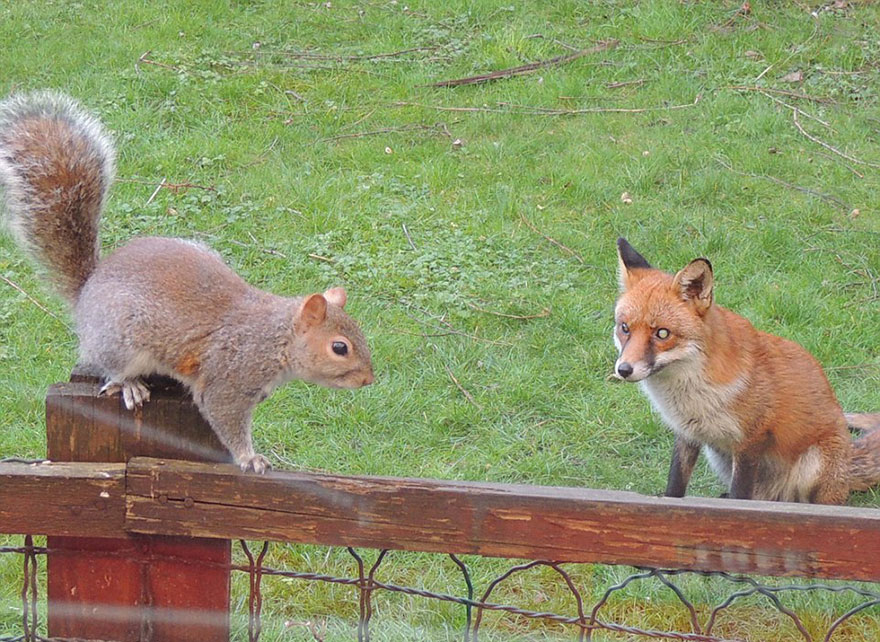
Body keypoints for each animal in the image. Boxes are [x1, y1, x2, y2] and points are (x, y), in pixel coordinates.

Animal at [0, 91, 374, 473]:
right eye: (340, 347)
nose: (368, 379)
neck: (276, 336)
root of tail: (88, 290)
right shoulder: (229, 378)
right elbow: (225, 416)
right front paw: (249, 458)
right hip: (119, 338)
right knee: (111, 368)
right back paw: (130, 385)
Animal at [612, 237, 880, 504]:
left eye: (662, 333)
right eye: (625, 328)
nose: (624, 369)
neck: (691, 393)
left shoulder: (751, 440)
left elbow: (740, 496)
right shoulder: (686, 435)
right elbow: (675, 485)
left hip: (814, 466)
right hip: (718, 456)